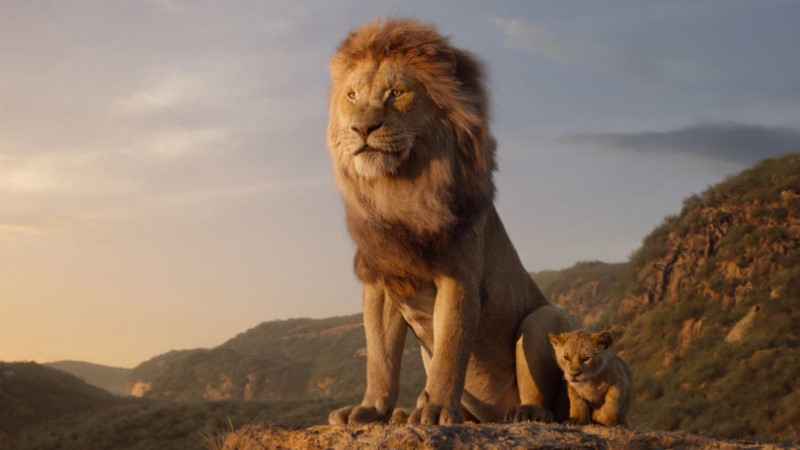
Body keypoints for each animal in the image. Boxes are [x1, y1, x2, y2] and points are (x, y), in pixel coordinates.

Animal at [326, 18, 574, 425]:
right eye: (351, 96)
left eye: (396, 93)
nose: (362, 128)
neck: (398, 189)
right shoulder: (382, 282)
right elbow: (380, 357)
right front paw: (370, 409)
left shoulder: (459, 277)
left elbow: (450, 350)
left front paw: (438, 409)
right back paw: (404, 414)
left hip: (544, 318)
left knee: (546, 400)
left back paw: (524, 413)